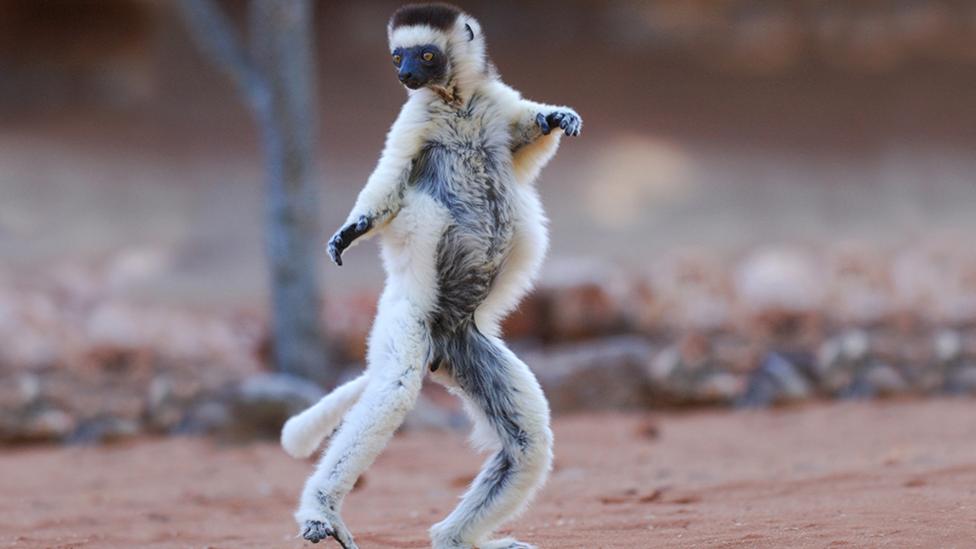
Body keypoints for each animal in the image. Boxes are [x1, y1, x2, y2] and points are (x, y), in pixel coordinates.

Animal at [281, 4, 581, 548]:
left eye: (425, 56)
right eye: (397, 56)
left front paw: (554, 116)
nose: (404, 76)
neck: (455, 101)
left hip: (468, 344)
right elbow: (388, 185)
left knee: (526, 443)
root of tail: (440, 345)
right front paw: (350, 231)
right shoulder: (414, 120)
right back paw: (321, 511)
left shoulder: (493, 106)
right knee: (393, 387)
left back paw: (453, 538)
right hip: (405, 319)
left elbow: (525, 136)